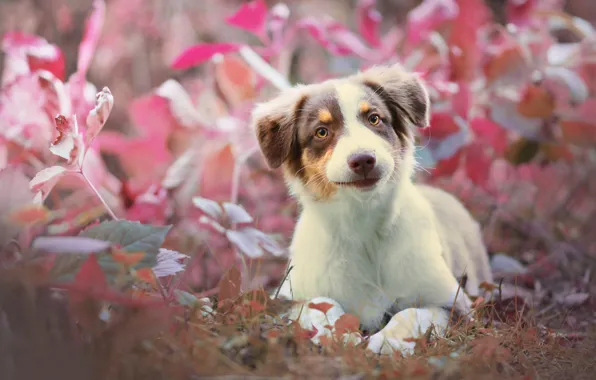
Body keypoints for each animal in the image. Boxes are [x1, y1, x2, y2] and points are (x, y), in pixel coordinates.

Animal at [251, 63, 494, 356]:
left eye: (374, 119)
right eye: (321, 132)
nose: (363, 160)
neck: (363, 225)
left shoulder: (456, 304)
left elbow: (411, 312)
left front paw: (385, 342)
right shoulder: (289, 296)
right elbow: (319, 306)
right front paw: (341, 337)